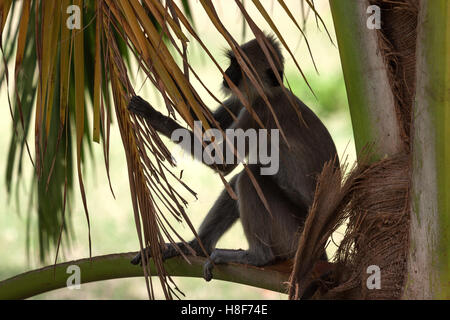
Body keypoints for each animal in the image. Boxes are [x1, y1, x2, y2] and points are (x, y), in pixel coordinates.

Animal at [126, 34, 338, 280]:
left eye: (238, 66)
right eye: (232, 63)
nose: (227, 73)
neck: (270, 93)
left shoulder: (258, 113)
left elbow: (223, 163)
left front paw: (156, 117)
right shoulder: (242, 100)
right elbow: (208, 125)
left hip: (291, 235)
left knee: (248, 178)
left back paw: (258, 258)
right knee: (242, 179)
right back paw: (197, 247)